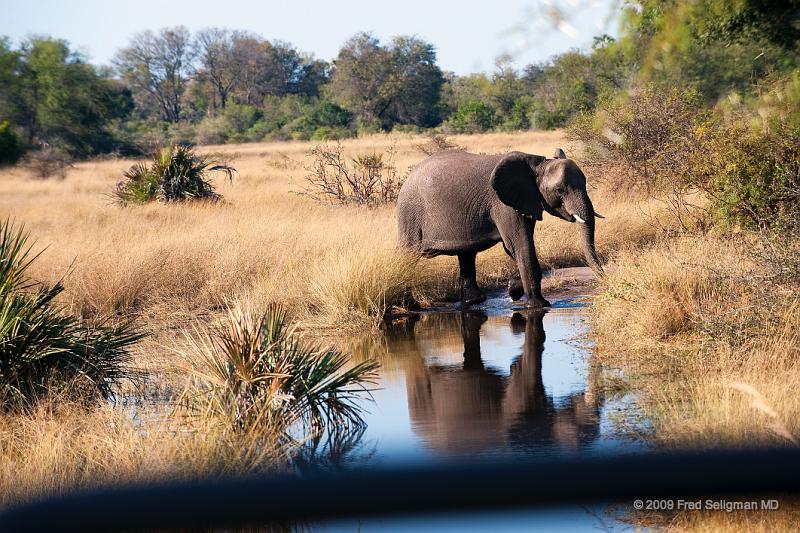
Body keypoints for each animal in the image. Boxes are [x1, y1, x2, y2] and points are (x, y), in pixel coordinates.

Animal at [396, 148, 604, 306]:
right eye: (560, 190)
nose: (603, 281)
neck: (538, 164)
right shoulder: (504, 205)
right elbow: (519, 246)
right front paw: (539, 305)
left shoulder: (525, 200)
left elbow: (516, 249)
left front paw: (513, 290)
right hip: (410, 213)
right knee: (408, 254)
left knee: (467, 254)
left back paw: (475, 301)